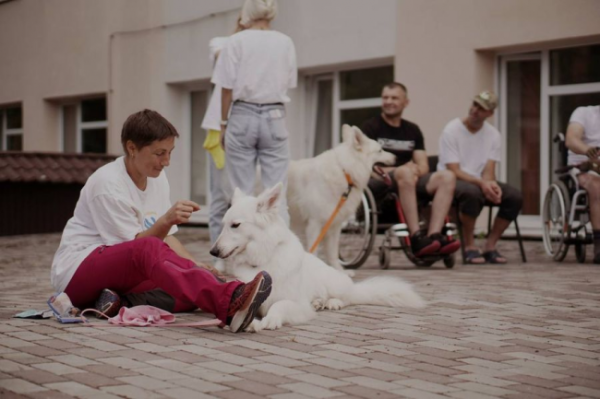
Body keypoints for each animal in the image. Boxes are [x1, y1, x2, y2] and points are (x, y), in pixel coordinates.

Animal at [209, 184, 424, 332]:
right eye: (224, 224)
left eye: (235, 225)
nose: (213, 251)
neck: (262, 259)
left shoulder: (297, 304)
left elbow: (280, 304)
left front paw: (271, 319)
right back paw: (318, 302)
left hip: (335, 283)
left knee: (348, 298)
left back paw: (332, 302)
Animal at [288, 125, 396, 274]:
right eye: (380, 150)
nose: (396, 157)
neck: (346, 172)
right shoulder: (315, 224)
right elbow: (314, 251)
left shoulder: (334, 224)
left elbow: (333, 253)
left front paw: (339, 272)